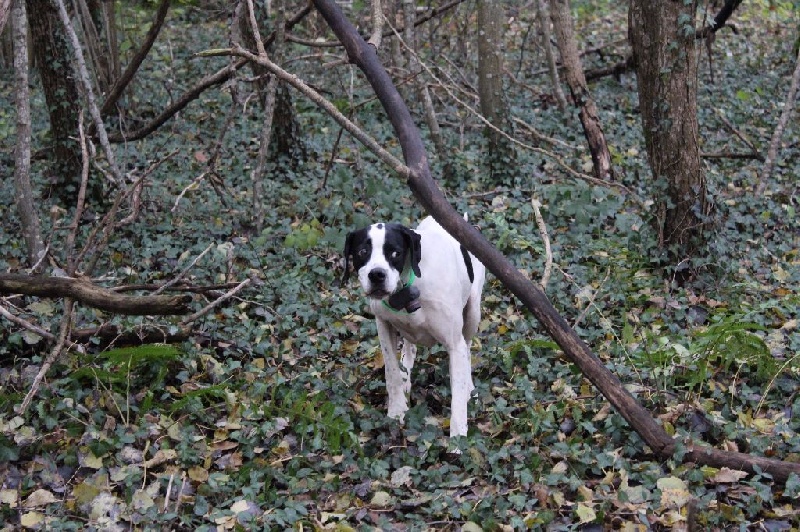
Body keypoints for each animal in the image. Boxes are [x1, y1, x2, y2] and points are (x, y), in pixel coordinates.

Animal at [340, 214, 484, 438]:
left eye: (395, 252)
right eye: (362, 252)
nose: (377, 274)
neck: (409, 285)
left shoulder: (455, 344)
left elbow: (458, 398)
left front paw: (458, 438)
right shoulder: (383, 325)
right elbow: (391, 371)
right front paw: (397, 411)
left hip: (473, 313)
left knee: (468, 349)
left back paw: (470, 388)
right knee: (410, 347)